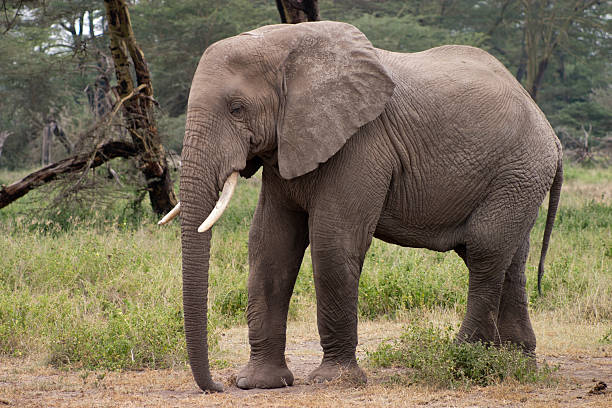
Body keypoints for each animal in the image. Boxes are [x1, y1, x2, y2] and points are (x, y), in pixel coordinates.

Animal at [158, 19, 564, 392]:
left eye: (237, 108)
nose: (216, 386)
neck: (290, 47)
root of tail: (550, 131)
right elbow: (269, 245)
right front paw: (259, 383)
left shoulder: (362, 143)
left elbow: (334, 244)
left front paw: (333, 382)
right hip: (520, 179)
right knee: (511, 261)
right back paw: (517, 365)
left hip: (520, 169)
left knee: (484, 252)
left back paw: (458, 360)